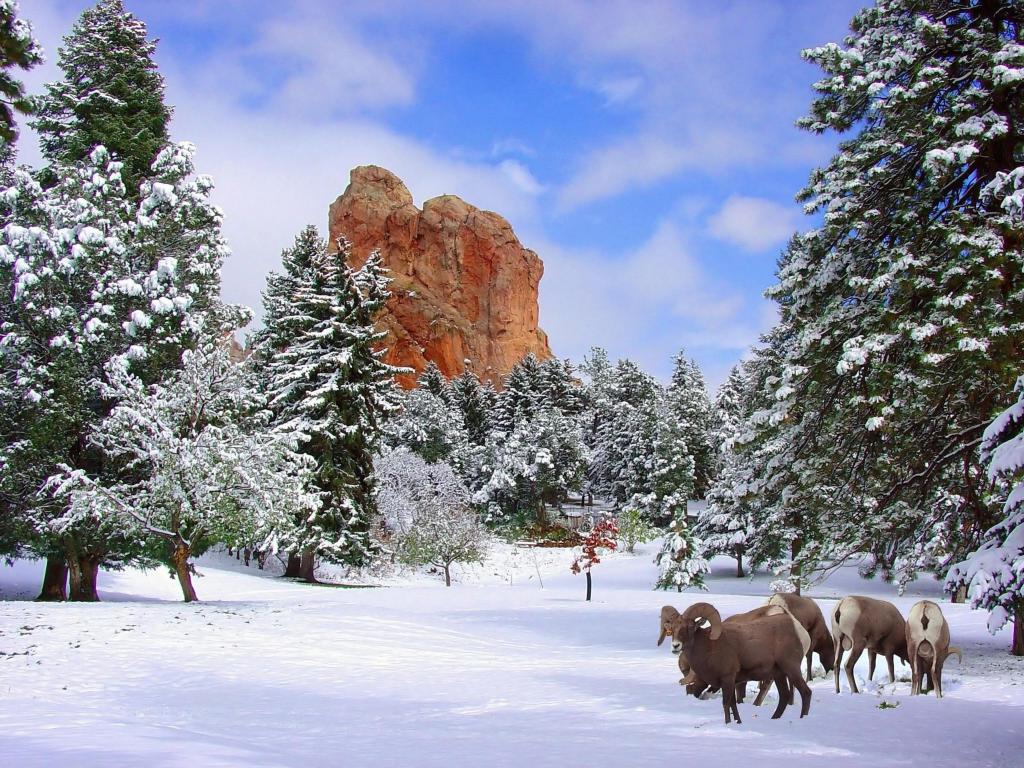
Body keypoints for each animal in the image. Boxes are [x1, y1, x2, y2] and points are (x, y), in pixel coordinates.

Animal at [667, 606, 811, 724]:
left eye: (691, 627)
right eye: (672, 628)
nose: (675, 646)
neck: (709, 646)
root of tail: (799, 631)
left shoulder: (727, 678)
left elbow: (726, 703)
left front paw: (727, 723)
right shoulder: (730, 682)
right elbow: (733, 704)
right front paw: (737, 722)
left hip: (791, 669)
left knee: (806, 692)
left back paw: (802, 719)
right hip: (779, 674)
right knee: (784, 696)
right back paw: (774, 719)